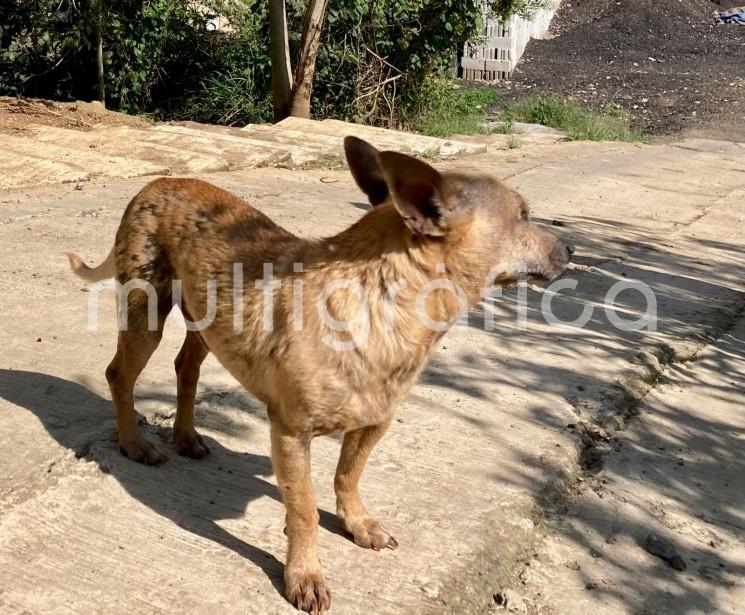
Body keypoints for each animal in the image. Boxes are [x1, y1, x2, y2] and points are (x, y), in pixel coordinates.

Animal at [67, 137, 572, 612]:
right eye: (524, 216)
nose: (571, 247)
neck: (382, 303)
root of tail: (158, 182)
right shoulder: (292, 435)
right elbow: (304, 510)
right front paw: (305, 575)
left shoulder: (374, 424)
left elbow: (349, 476)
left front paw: (358, 523)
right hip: (146, 314)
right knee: (119, 375)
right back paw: (133, 442)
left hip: (205, 323)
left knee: (185, 368)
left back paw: (186, 435)